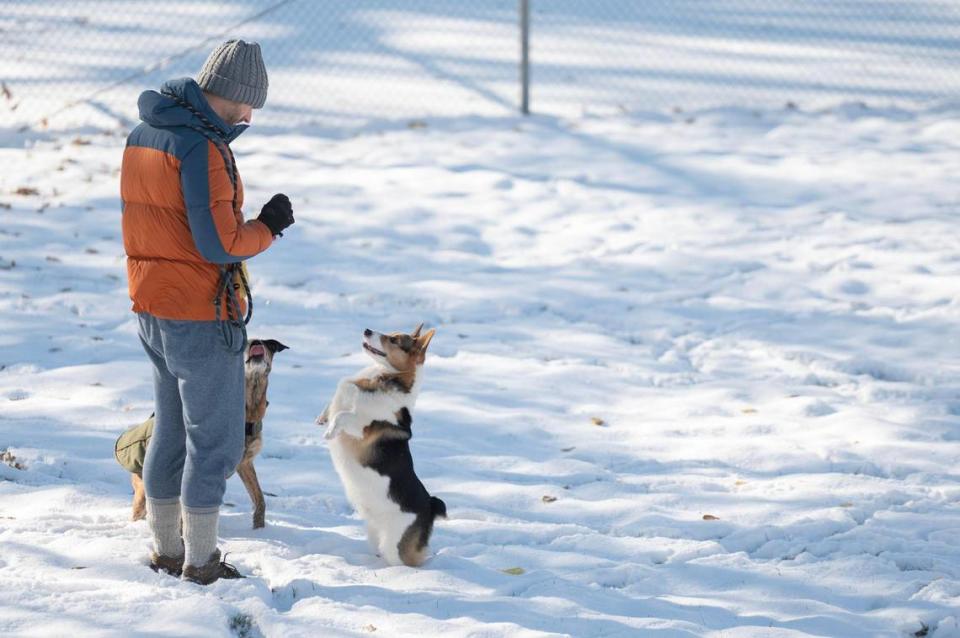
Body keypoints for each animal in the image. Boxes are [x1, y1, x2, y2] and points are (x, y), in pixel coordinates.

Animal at [126, 340, 288, 528]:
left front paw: (259, 528)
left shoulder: (245, 463)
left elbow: (259, 498)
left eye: (267, 344)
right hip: (144, 490)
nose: (256, 342)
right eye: (246, 343)